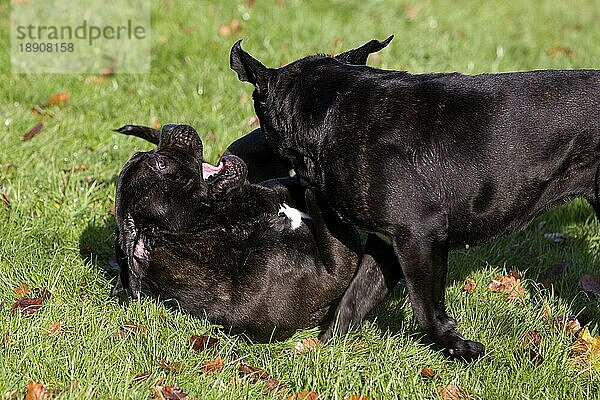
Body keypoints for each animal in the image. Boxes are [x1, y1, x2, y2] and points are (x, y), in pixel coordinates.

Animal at [231, 35, 600, 360]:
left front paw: (458, 348)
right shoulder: (387, 243)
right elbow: (352, 300)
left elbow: (425, 307)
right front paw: (324, 351)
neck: (332, 109)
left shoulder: (420, 235)